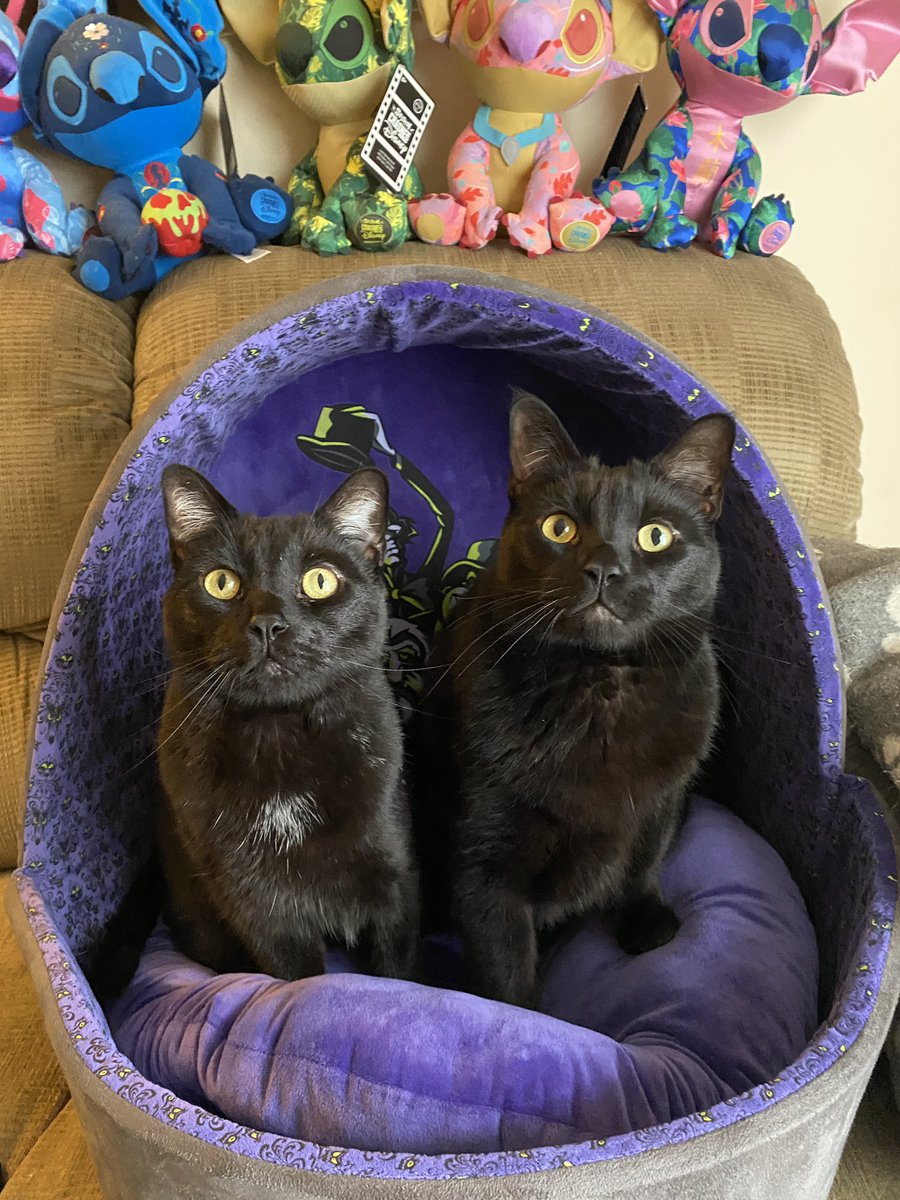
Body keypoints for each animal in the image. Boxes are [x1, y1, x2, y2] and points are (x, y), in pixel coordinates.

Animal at [153, 463, 422, 979]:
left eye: (320, 581)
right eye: (221, 583)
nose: (268, 623)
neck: (277, 735)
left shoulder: (394, 878)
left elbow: (397, 970)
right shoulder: (254, 901)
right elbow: (300, 978)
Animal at [420, 393, 734, 1003]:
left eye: (655, 536)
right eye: (559, 528)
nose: (605, 568)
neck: (600, 688)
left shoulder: (659, 803)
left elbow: (641, 861)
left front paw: (645, 920)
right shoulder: (485, 862)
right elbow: (507, 976)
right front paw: (519, 1016)